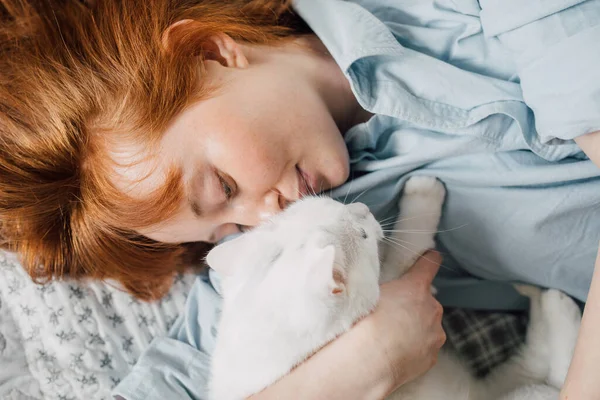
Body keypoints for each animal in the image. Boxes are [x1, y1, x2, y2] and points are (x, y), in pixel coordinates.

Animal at [206, 177, 580, 400]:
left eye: (333, 204)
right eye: (362, 236)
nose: (362, 207)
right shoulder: (397, 277)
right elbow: (409, 247)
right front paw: (423, 195)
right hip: (525, 394)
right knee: (549, 374)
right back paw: (554, 303)